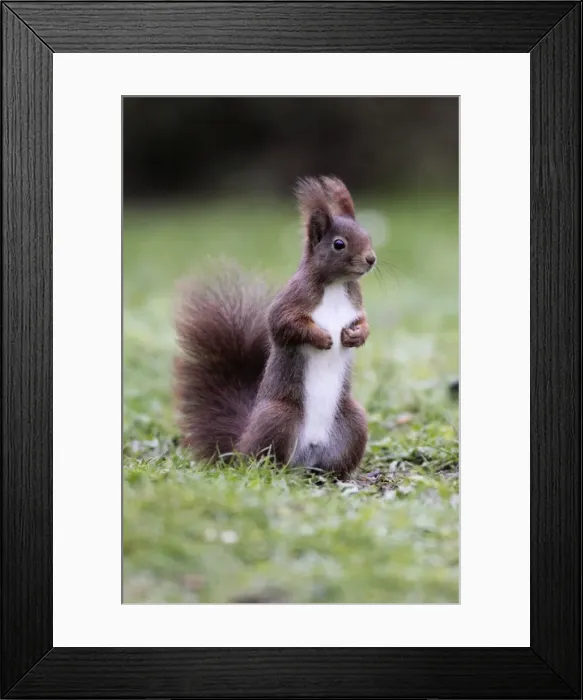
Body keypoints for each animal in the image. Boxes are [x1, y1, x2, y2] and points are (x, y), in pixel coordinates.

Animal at [174, 176, 376, 479]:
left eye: (367, 235)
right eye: (339, 244)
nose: (371, 259)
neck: (336, 285)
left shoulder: (355, 307)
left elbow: (363, 322)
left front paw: (356, 335)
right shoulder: (291, 301)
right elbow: (282, 325)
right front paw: (321, 338)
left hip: (353, 422)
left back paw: (337, 477)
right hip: (278, 418)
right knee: (264, 459)